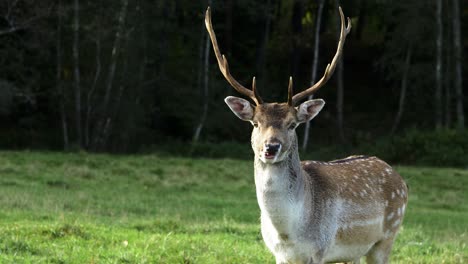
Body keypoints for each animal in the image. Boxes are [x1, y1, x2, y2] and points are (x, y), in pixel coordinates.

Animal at [205, 6, 406, 264]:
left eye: (292, 125)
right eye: (256, 123)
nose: (271, 147)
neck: (287, 234)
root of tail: (398, 176)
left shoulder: (318, 250)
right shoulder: (279, 254)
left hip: (387, 236)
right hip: (353, 253)